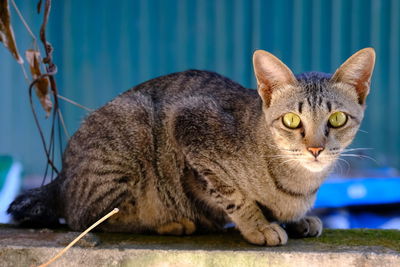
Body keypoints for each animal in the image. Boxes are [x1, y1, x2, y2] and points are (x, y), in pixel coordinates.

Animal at [7, 47, 376, 247]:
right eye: (290, 121)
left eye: (338, 119)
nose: (315, 149)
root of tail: (61, 179)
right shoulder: (189, 127)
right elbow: (234, 196)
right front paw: (258, 225)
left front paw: (297, 220)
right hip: (133, 123)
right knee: (86, 218)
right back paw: (171, 223)